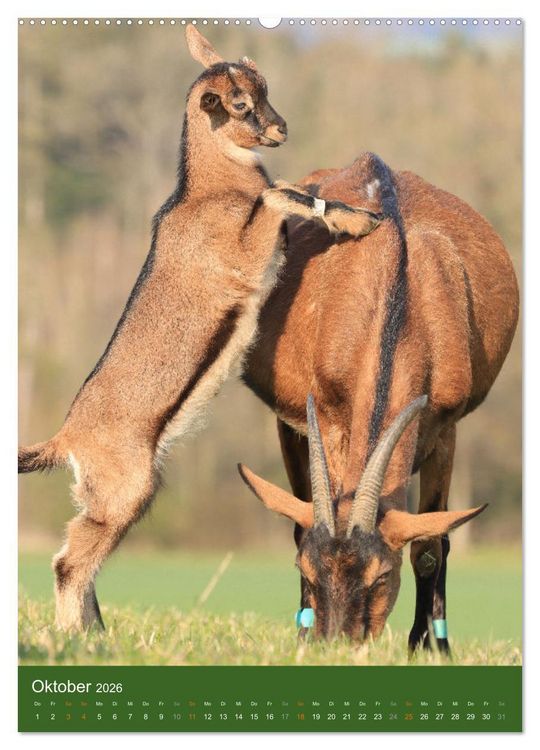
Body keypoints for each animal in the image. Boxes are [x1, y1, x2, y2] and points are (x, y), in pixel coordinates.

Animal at [18, 27, 379, 632]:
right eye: (238, 104)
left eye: (263, 89)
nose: (281, 128)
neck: (209, 192)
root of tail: (66, 439)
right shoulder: (246, 260)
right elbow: (279, 191)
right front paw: (356, 218)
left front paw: (356, 216)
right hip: (125, 490)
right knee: (69, 562)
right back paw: (76, 636)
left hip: (111, 497)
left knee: (82, 559)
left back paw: (96, 635)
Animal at [239, 151, 519, 650]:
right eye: (305, 570)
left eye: (382, 576)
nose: (338, 642)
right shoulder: (330, 418)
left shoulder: (444, 426)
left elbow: (431, 544)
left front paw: (429, 645)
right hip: (290, 427)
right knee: (297, 517)